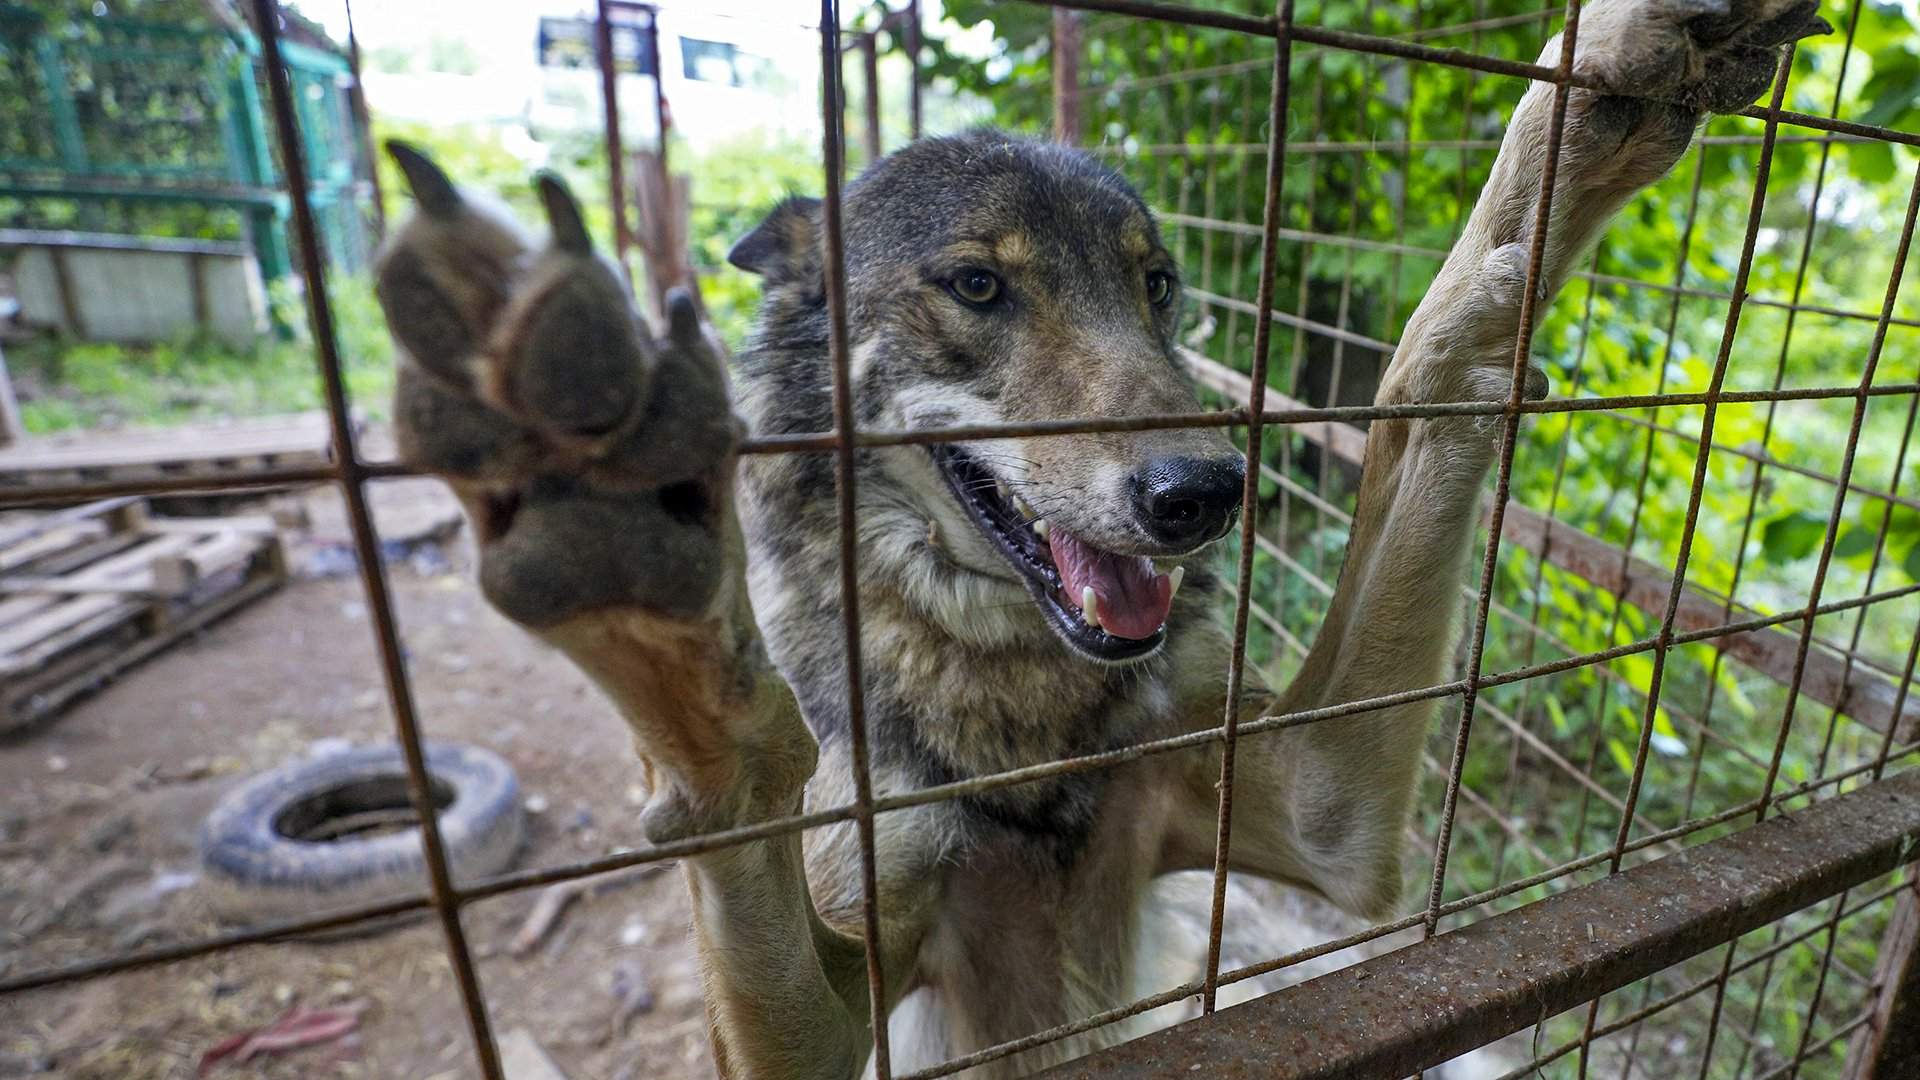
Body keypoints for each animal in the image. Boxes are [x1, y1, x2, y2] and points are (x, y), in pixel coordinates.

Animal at [370, 4, 1827, 1068]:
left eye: (1160, 287)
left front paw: (1597, 101)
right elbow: (748, 805)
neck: (1017, 727)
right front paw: (647, 590)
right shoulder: (837, 995)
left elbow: (1430, 373)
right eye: (976, 285)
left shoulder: (1327, 816)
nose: (1203, 493)